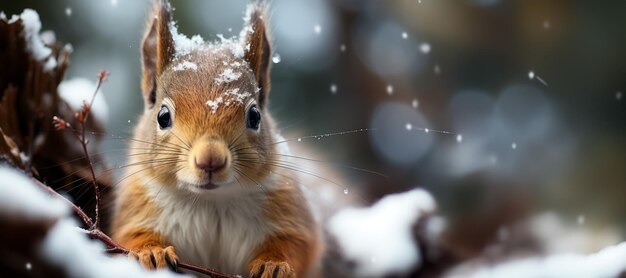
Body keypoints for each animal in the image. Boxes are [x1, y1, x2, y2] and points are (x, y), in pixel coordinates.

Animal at [109, 1, 322, 276]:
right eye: (163, 116)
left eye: (255, 116)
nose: (210, 159)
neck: (210, 203)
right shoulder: (135, 209)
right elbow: (131, 234)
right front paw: (151, 252)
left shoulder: (289, 211)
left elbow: (297, 244)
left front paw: (274, 264)